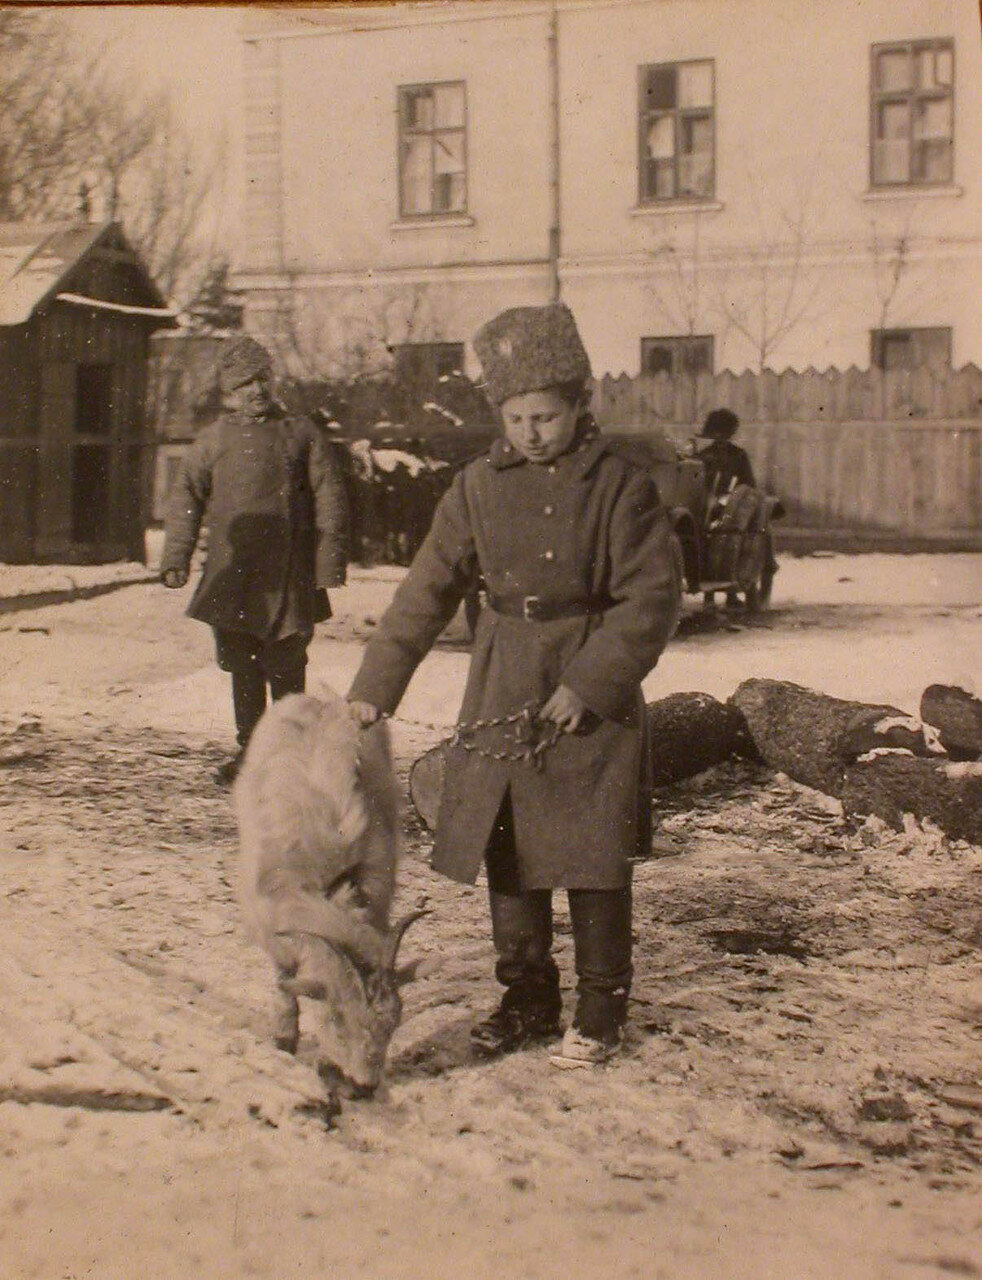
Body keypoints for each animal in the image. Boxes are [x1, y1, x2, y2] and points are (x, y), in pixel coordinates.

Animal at [235, 686, 425, 1095]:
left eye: (394, 1022)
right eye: (336, 1017)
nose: (364, 1087)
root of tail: (322, 697)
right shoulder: (273, 927)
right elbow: (285, 985)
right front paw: (284, 1038)